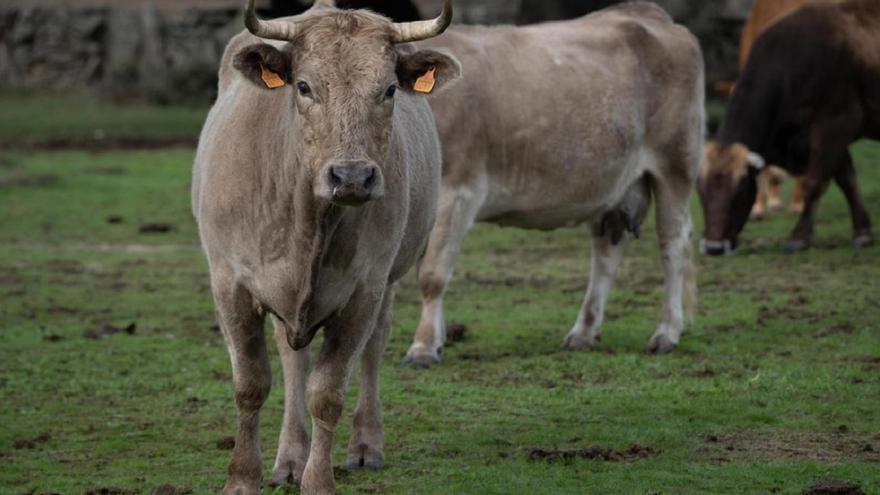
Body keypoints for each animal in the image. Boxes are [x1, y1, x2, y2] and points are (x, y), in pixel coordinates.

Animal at [192, 1, 460, 494]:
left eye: (389, 88)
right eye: (303, 86)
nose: (351, 177)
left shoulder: (363, 292)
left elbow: (328, 392)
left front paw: (318, 480)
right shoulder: (230, 284)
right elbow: (251, 384)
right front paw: (242, 478)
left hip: (388, 282)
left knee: (374, 346)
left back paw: (365, 445)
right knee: (291, 356)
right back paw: (289, 457)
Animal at [402, 0, 704, 368]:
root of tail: (646, 14)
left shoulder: (457, 191)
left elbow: (432, 273)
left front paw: (424, 347)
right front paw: (439, 339)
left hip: (675, 166)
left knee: (673, 244)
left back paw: (667, 332)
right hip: (610, 183)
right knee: (607, 254)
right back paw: (584, 332)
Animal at [696, 0, 876, 256]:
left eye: (740, 189)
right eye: (700, 190)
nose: (713, 247)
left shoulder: (836, 124)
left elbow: (815, 181)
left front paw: (799, 237)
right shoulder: (829, 136)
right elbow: (847, 180)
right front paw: (862, 232)